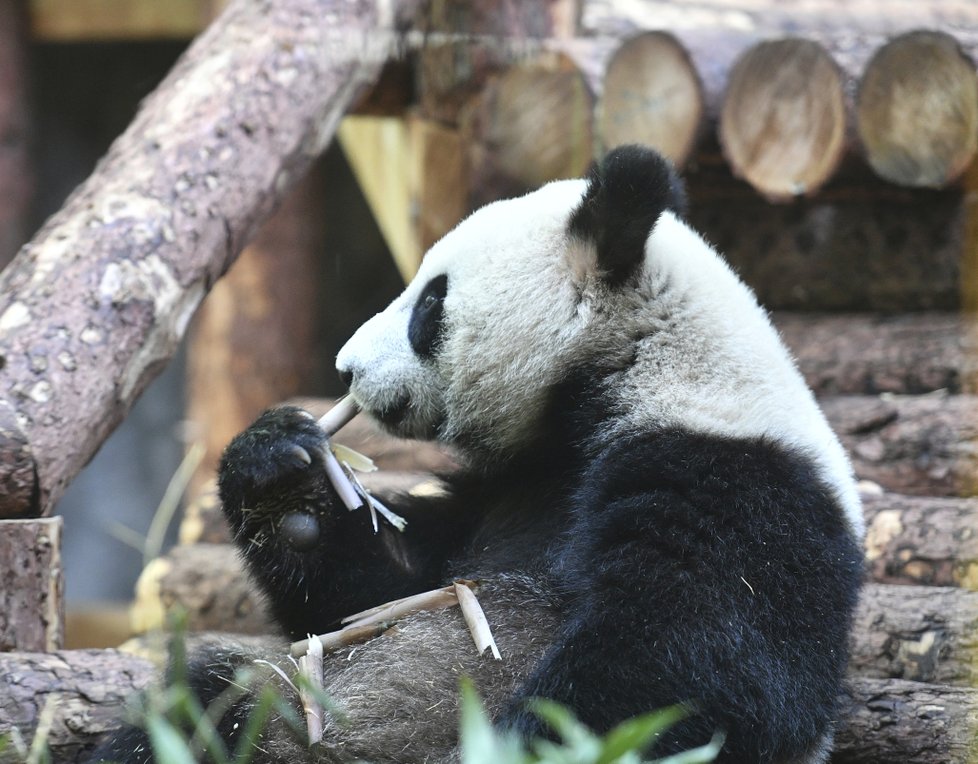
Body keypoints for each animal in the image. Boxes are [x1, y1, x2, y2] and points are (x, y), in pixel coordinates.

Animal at [95, 146, 860, 764]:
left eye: (430, 303)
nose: (346, 368)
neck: (628, 372)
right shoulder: (507, 489)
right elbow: (379, 591)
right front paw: (282, 473)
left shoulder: (737, 485)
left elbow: (683, 672)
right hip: (268, 711)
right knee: (210, 700)